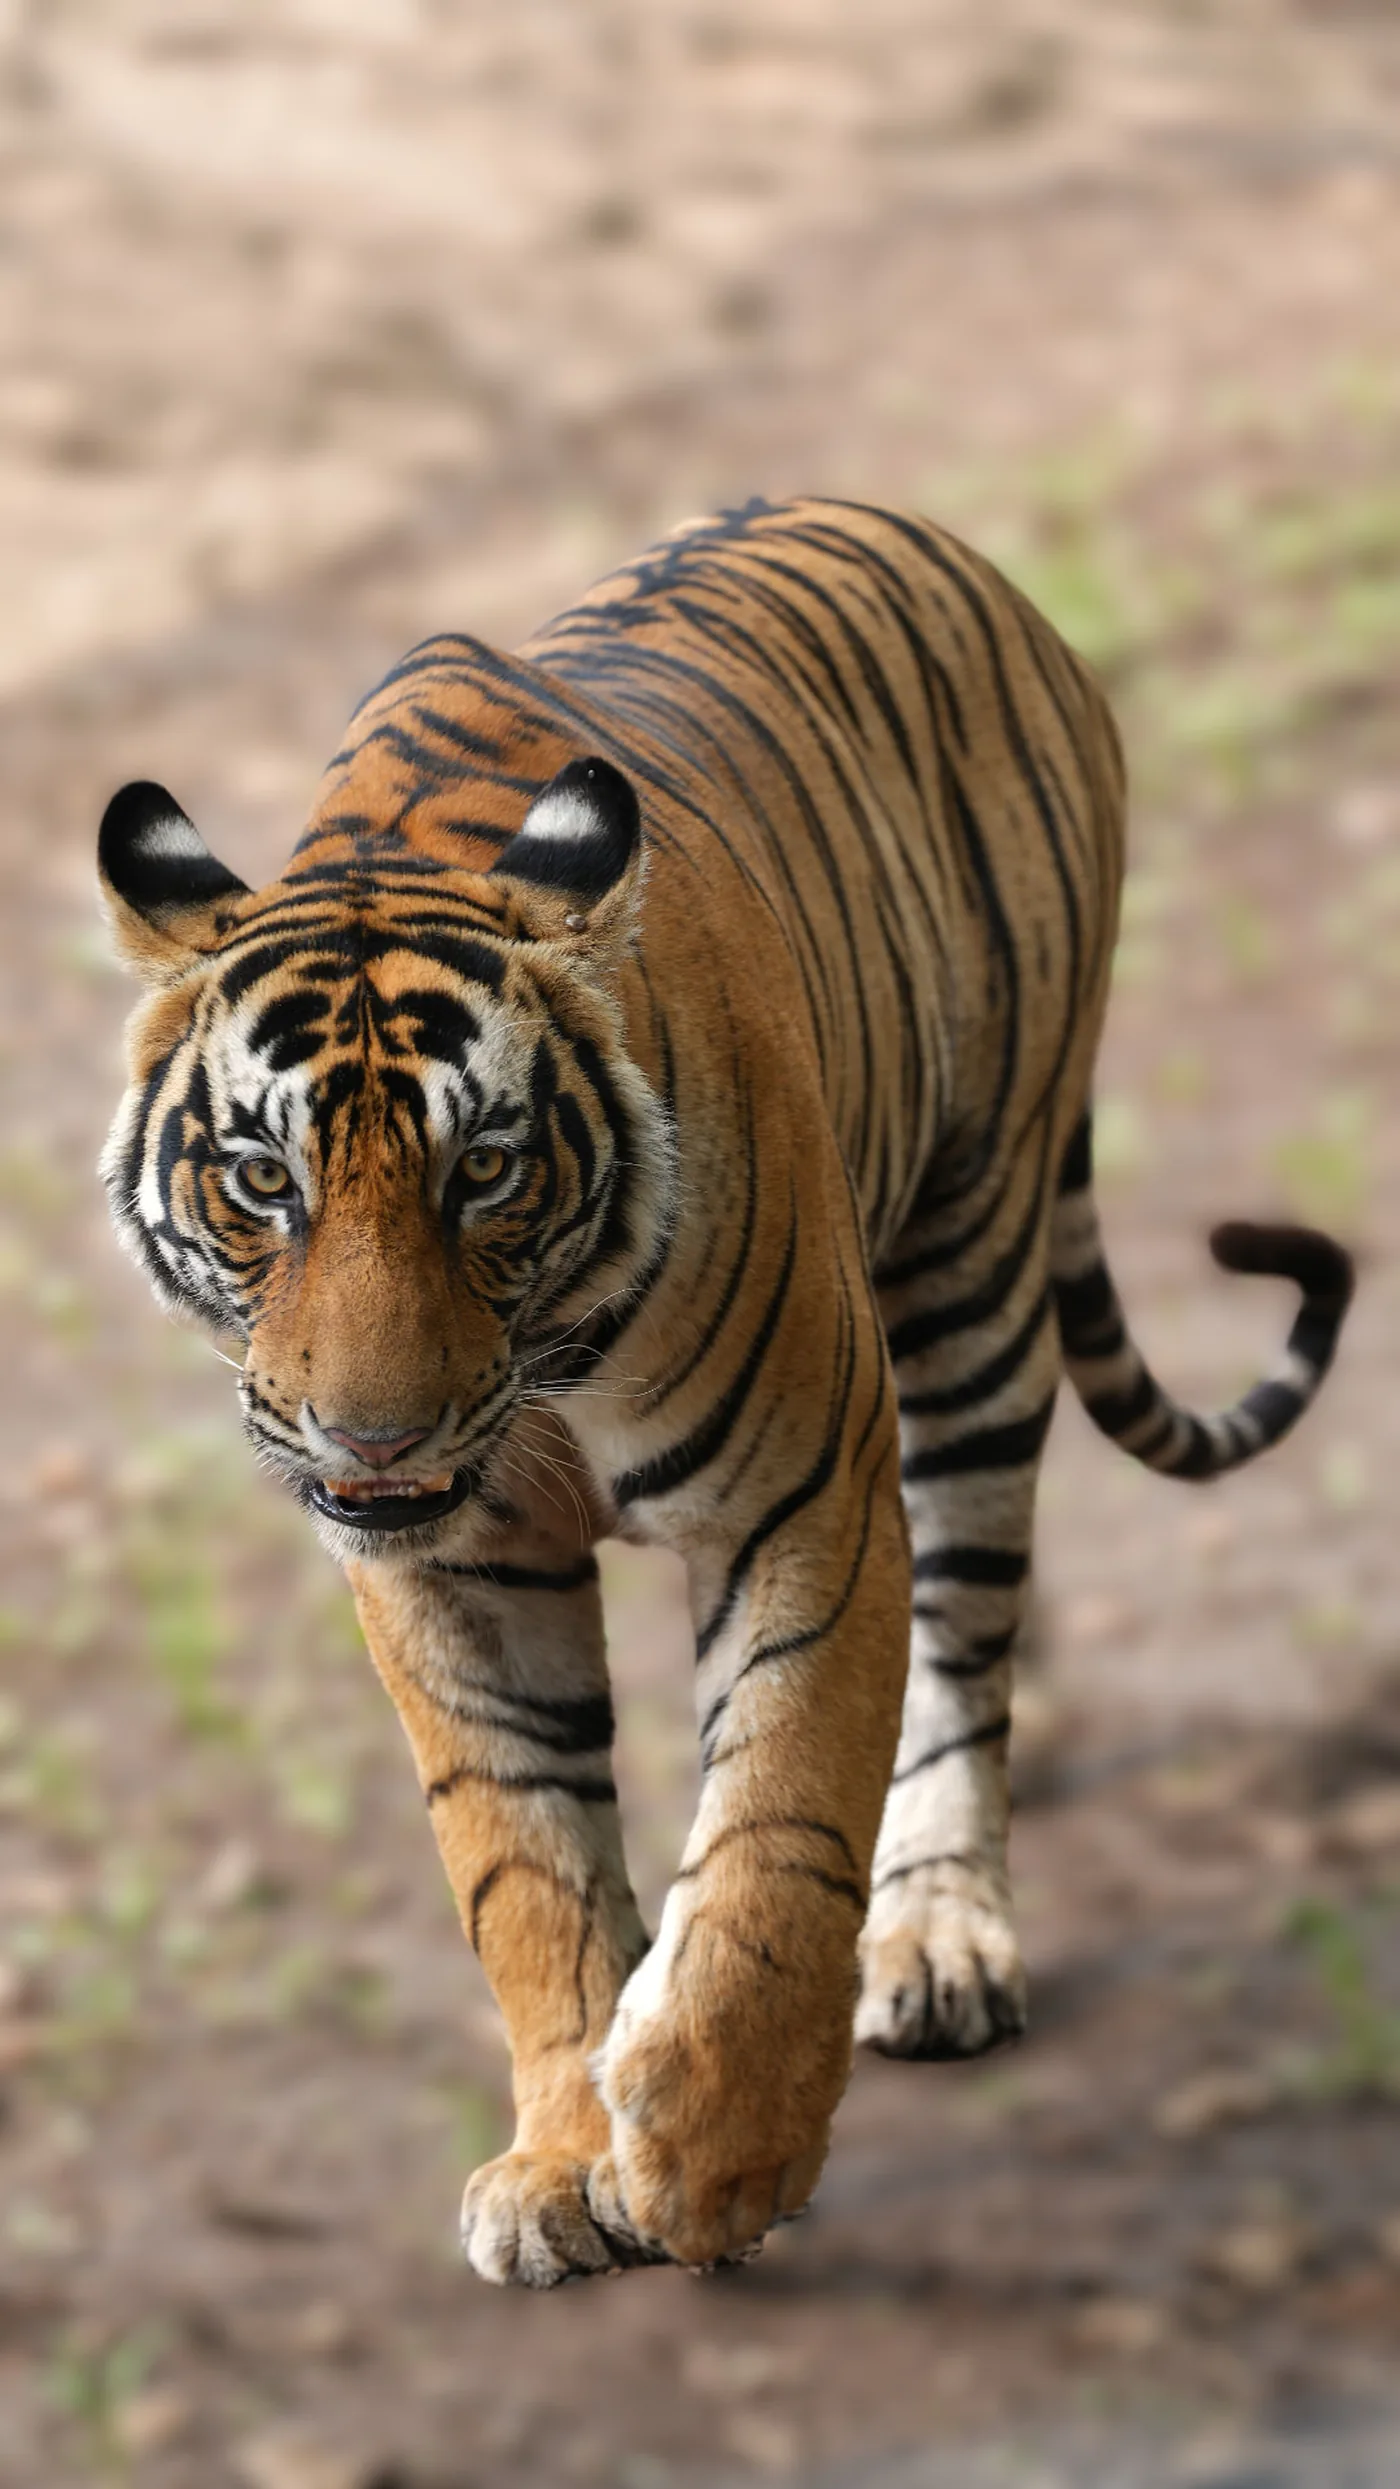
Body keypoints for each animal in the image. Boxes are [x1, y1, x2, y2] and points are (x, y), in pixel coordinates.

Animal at [98, 497, 1353, 2289]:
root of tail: (948, 545)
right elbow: (524, 1859)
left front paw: (709, 2160)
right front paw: (563, 2160)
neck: (539, 1379)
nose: (373, 1434)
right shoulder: (450, 1570)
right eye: (264, 1179)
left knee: (967, 1629)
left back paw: (941, 1932)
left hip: (975, 1267)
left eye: (485, 1170)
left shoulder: (803, 1496)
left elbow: (779, 1820)